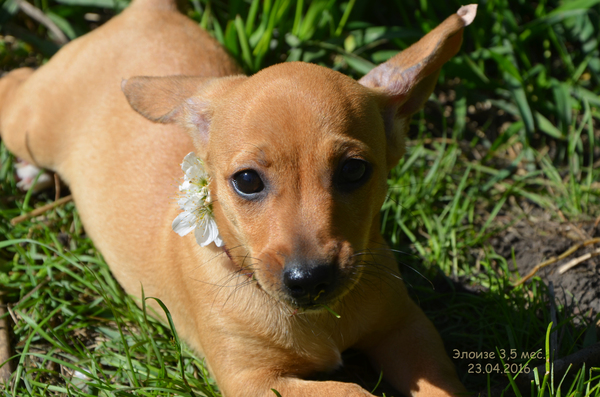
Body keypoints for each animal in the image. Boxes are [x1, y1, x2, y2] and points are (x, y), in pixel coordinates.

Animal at [1, 1, 478, 394]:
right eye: (247, 181)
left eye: (354, 171)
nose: (309, 280)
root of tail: (147, 9)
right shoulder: (254, 380)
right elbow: (350, 392)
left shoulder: (407, 329)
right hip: (29, 124)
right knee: (14, 82)